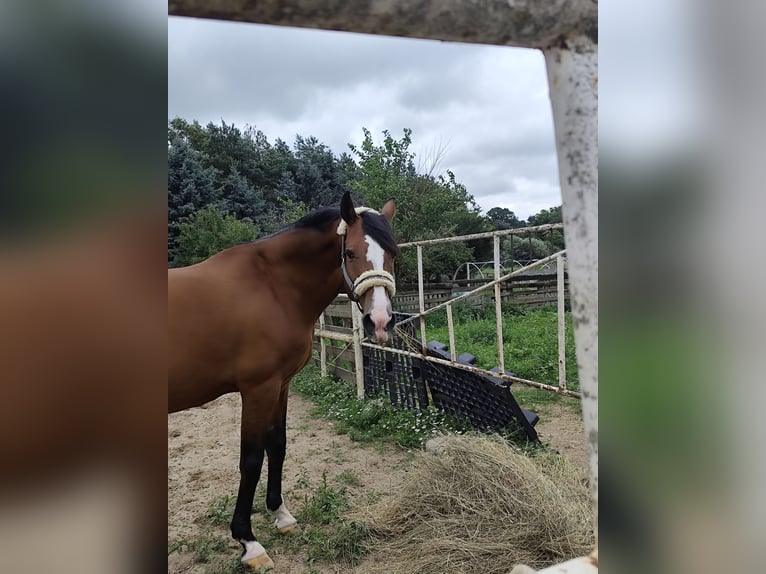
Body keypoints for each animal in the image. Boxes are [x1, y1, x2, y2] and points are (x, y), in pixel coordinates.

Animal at [168, 191, 399, 569]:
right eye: (350, 252)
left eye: (394, 253)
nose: (379, 322)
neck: (273, 286)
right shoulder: (258, 389)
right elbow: (251, 460)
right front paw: (248, 542)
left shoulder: (281, 384)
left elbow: (277, 445)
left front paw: (281, 515)